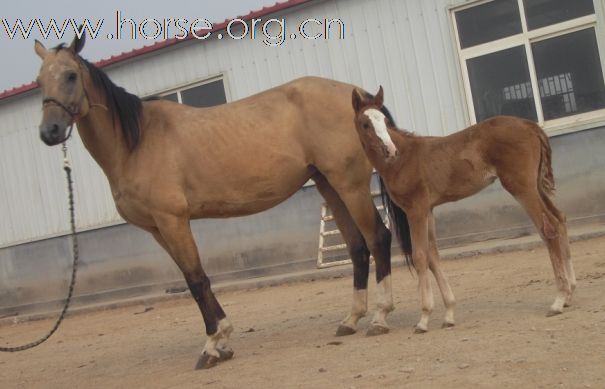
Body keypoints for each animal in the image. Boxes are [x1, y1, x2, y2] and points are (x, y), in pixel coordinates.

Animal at [34, 32, 392, 366]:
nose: (49, 132)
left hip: (351, 185)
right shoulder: (157, 229)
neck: (137, 142)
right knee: (357, 247)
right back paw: (351, 320)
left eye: (70, 75)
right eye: (40, 80)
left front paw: (212, 345)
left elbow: (196, 279)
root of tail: (359, 99)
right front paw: (222, 339)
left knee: (378, 237)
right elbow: (193, 279)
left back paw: (380, 317)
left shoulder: (173, 220)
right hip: (329, 186)